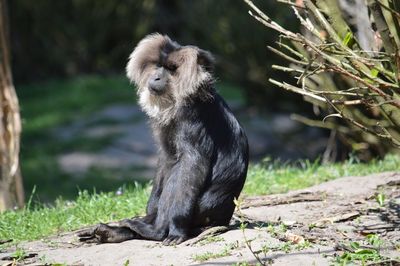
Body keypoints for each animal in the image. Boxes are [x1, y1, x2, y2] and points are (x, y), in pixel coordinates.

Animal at [77, 33, 247, 245]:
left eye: (171, 70)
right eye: (159, 66)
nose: (156, 77)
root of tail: (223, 218)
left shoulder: (191, 116)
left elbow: (192, 163)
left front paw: (175, 230)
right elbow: (166, 158)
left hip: (201, 212)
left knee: (178, 175)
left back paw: (155, 231)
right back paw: (115, 230)